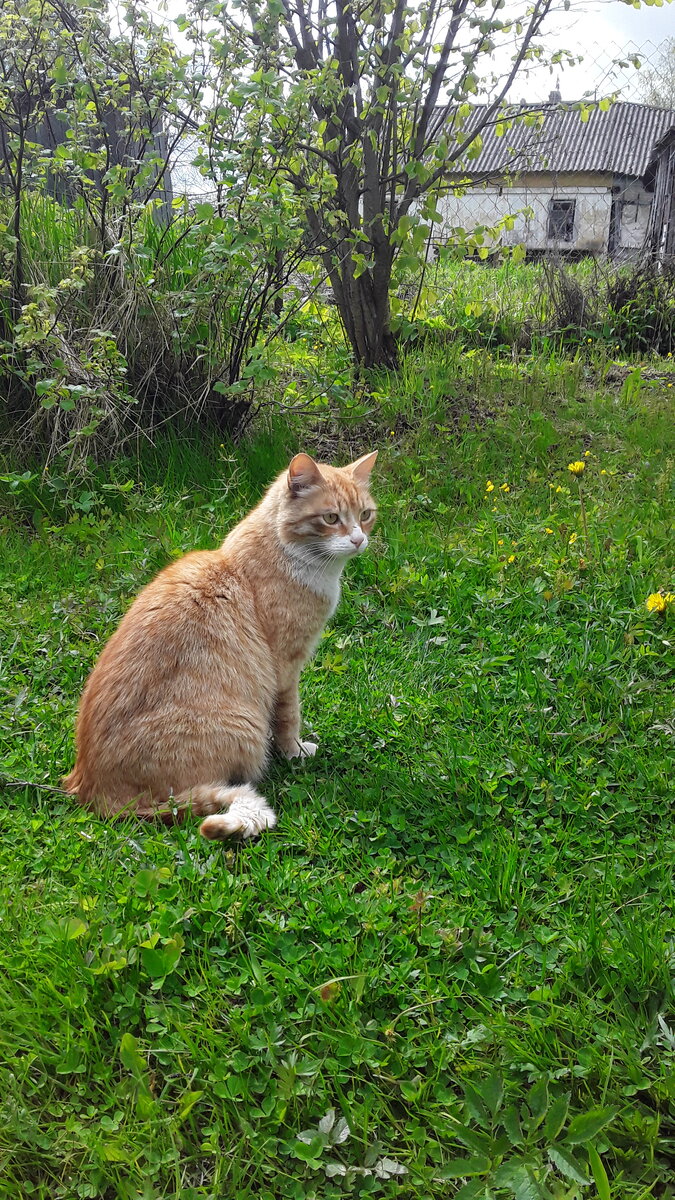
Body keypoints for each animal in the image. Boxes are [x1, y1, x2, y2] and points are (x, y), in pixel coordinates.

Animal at [61, 448, 379, 835]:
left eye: (365, 515)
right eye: (331, 518)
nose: (358, 540)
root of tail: (93, 792)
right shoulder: (286, 668)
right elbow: (289, 717)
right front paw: (294, 752)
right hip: (244, 726)